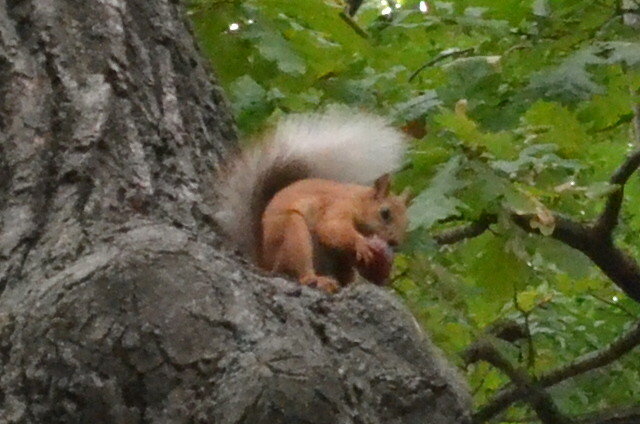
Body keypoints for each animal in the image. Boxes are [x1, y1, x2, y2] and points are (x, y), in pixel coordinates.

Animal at [212, 108, 408, 292]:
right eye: (385, 213)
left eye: (407, 222)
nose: (394, 243)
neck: (358, 200)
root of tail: (265, 261)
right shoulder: (338, 206)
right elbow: (331, 228)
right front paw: (362, 243)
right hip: (294, 234)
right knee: (299, 270)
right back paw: (316, 279)